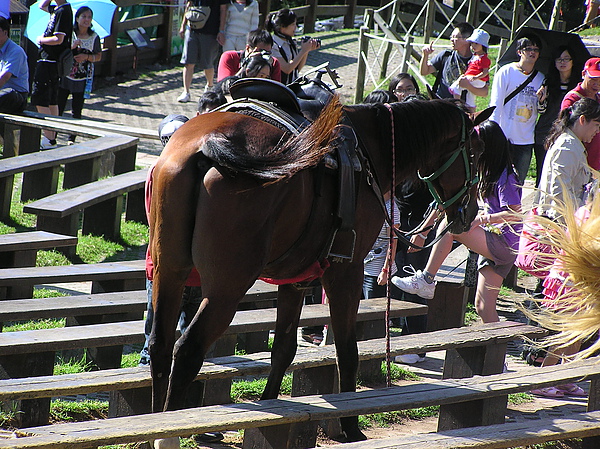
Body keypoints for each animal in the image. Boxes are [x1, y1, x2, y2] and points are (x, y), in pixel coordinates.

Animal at [149, 97, 482, 444]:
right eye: (477, 153)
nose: (470, 212)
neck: (372, 146)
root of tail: (205, 146)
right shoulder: (347, 271)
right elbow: (347, 351)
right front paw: (350, 426)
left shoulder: (294, 279)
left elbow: (283, 348)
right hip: (227, 287)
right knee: (187, 350)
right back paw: (167, 433)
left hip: (168, 270)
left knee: (161, 345)